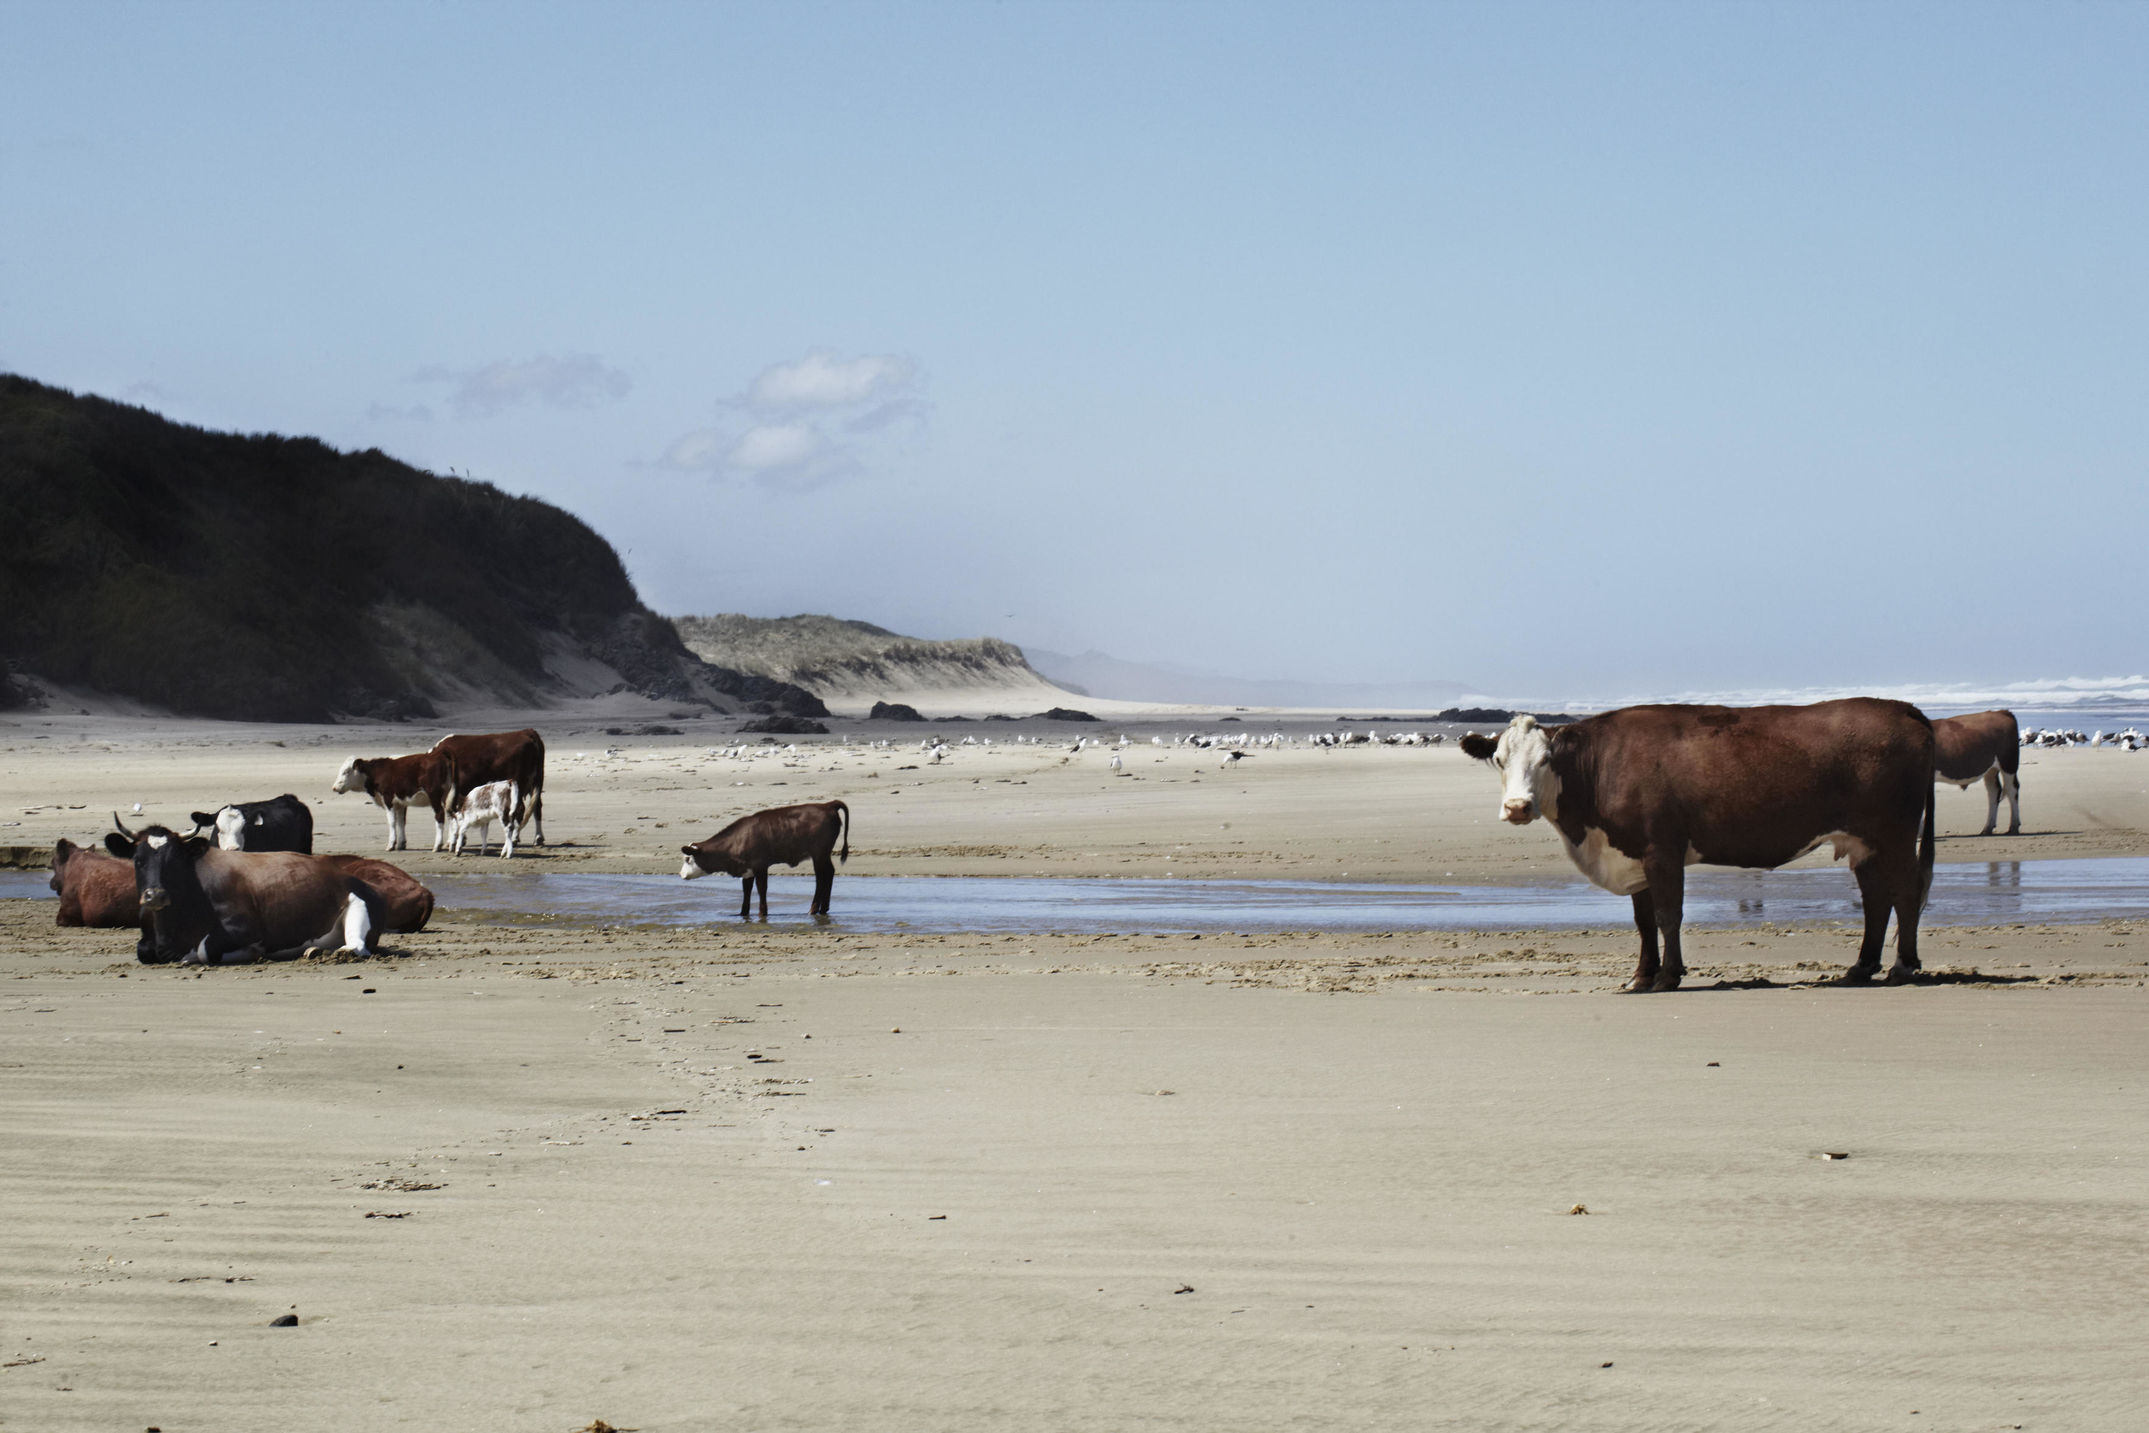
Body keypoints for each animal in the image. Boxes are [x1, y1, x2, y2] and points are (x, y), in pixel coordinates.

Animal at [687, 803, 855, 923]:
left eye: (688, 859)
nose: (682, 874)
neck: (738, 839)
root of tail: (827, 805)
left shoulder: (760, 865)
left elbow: (762, 888)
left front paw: (762, 913)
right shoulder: (747, 869)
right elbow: (746, 890)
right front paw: (743, 913)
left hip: (819, 854)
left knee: (822, 877)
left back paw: (813, 910)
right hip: (822, 855)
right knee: (829, 873)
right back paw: (823, 908)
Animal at [1461, 700, 1934, 992]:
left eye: (1546, 760)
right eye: (1499, 760)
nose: (1517, 807)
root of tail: (1899, 708)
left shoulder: (1661, 850)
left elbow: (1668, 916)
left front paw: (1668, 976)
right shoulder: (1633, 855)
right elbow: (1644, 922)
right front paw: (1641, 976)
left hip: (1893, 833)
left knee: (1905, 892)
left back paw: (1902, 966)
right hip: (1864, 841)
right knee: (1876, 899)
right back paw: (1861, 967)